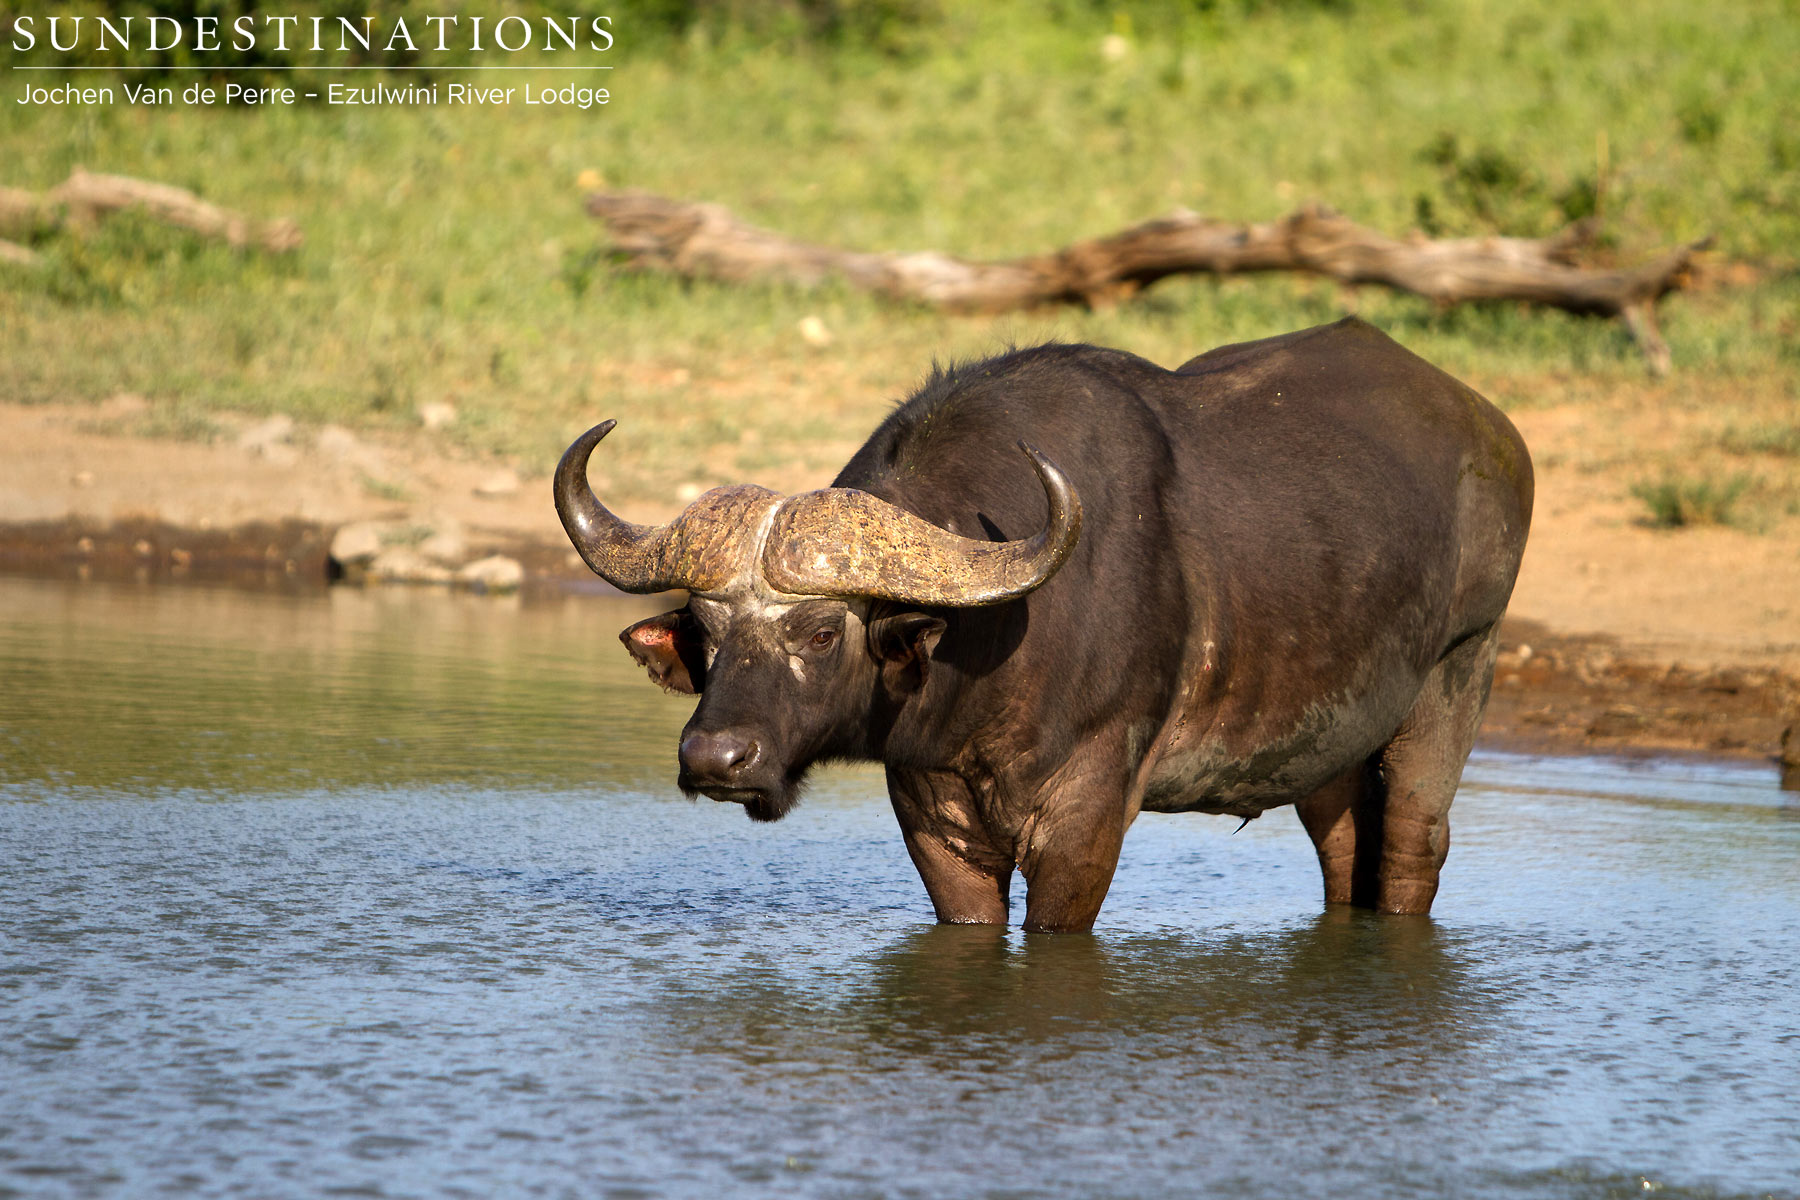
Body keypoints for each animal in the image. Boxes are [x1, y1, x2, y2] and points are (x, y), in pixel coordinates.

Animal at [556, 318, 1532, 932]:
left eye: (822, 633)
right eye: (706, 632)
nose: (714, 759)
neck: (985, 650)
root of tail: (1495, 435)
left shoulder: (1086, 817)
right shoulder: (934, 814)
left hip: (1459, 673)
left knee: (1410, 848)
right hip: (1326, 746)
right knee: (1345, 855)